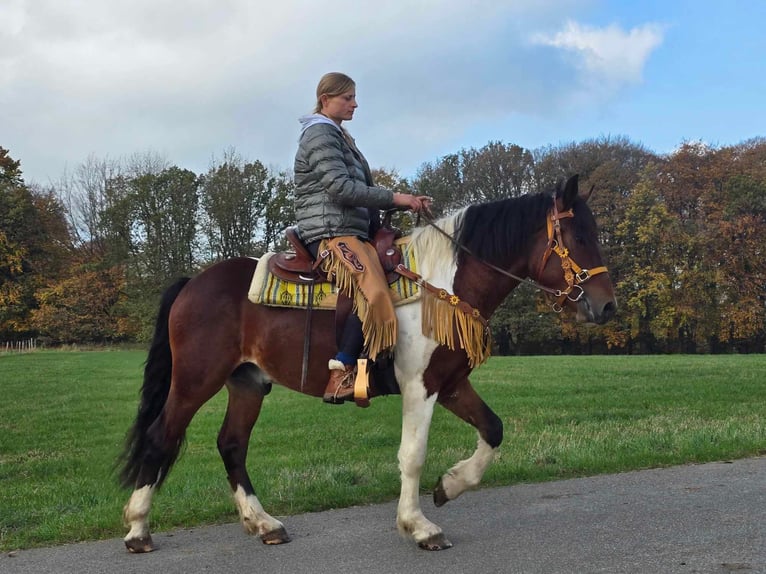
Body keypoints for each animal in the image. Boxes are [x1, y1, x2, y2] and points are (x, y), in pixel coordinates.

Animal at [117, 174, 616, 552]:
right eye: (580, 237)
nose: (606, 306)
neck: (442, 283)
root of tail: (192, 282)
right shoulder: (420, 386)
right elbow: (412, 455)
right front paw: (419, 527)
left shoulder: (450, 382)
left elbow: (492, 430)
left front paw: (449, 486)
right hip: (195, 380)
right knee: (162, 437)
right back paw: (138, 529)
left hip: (247, 383)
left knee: (232, 445)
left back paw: (263, 524)